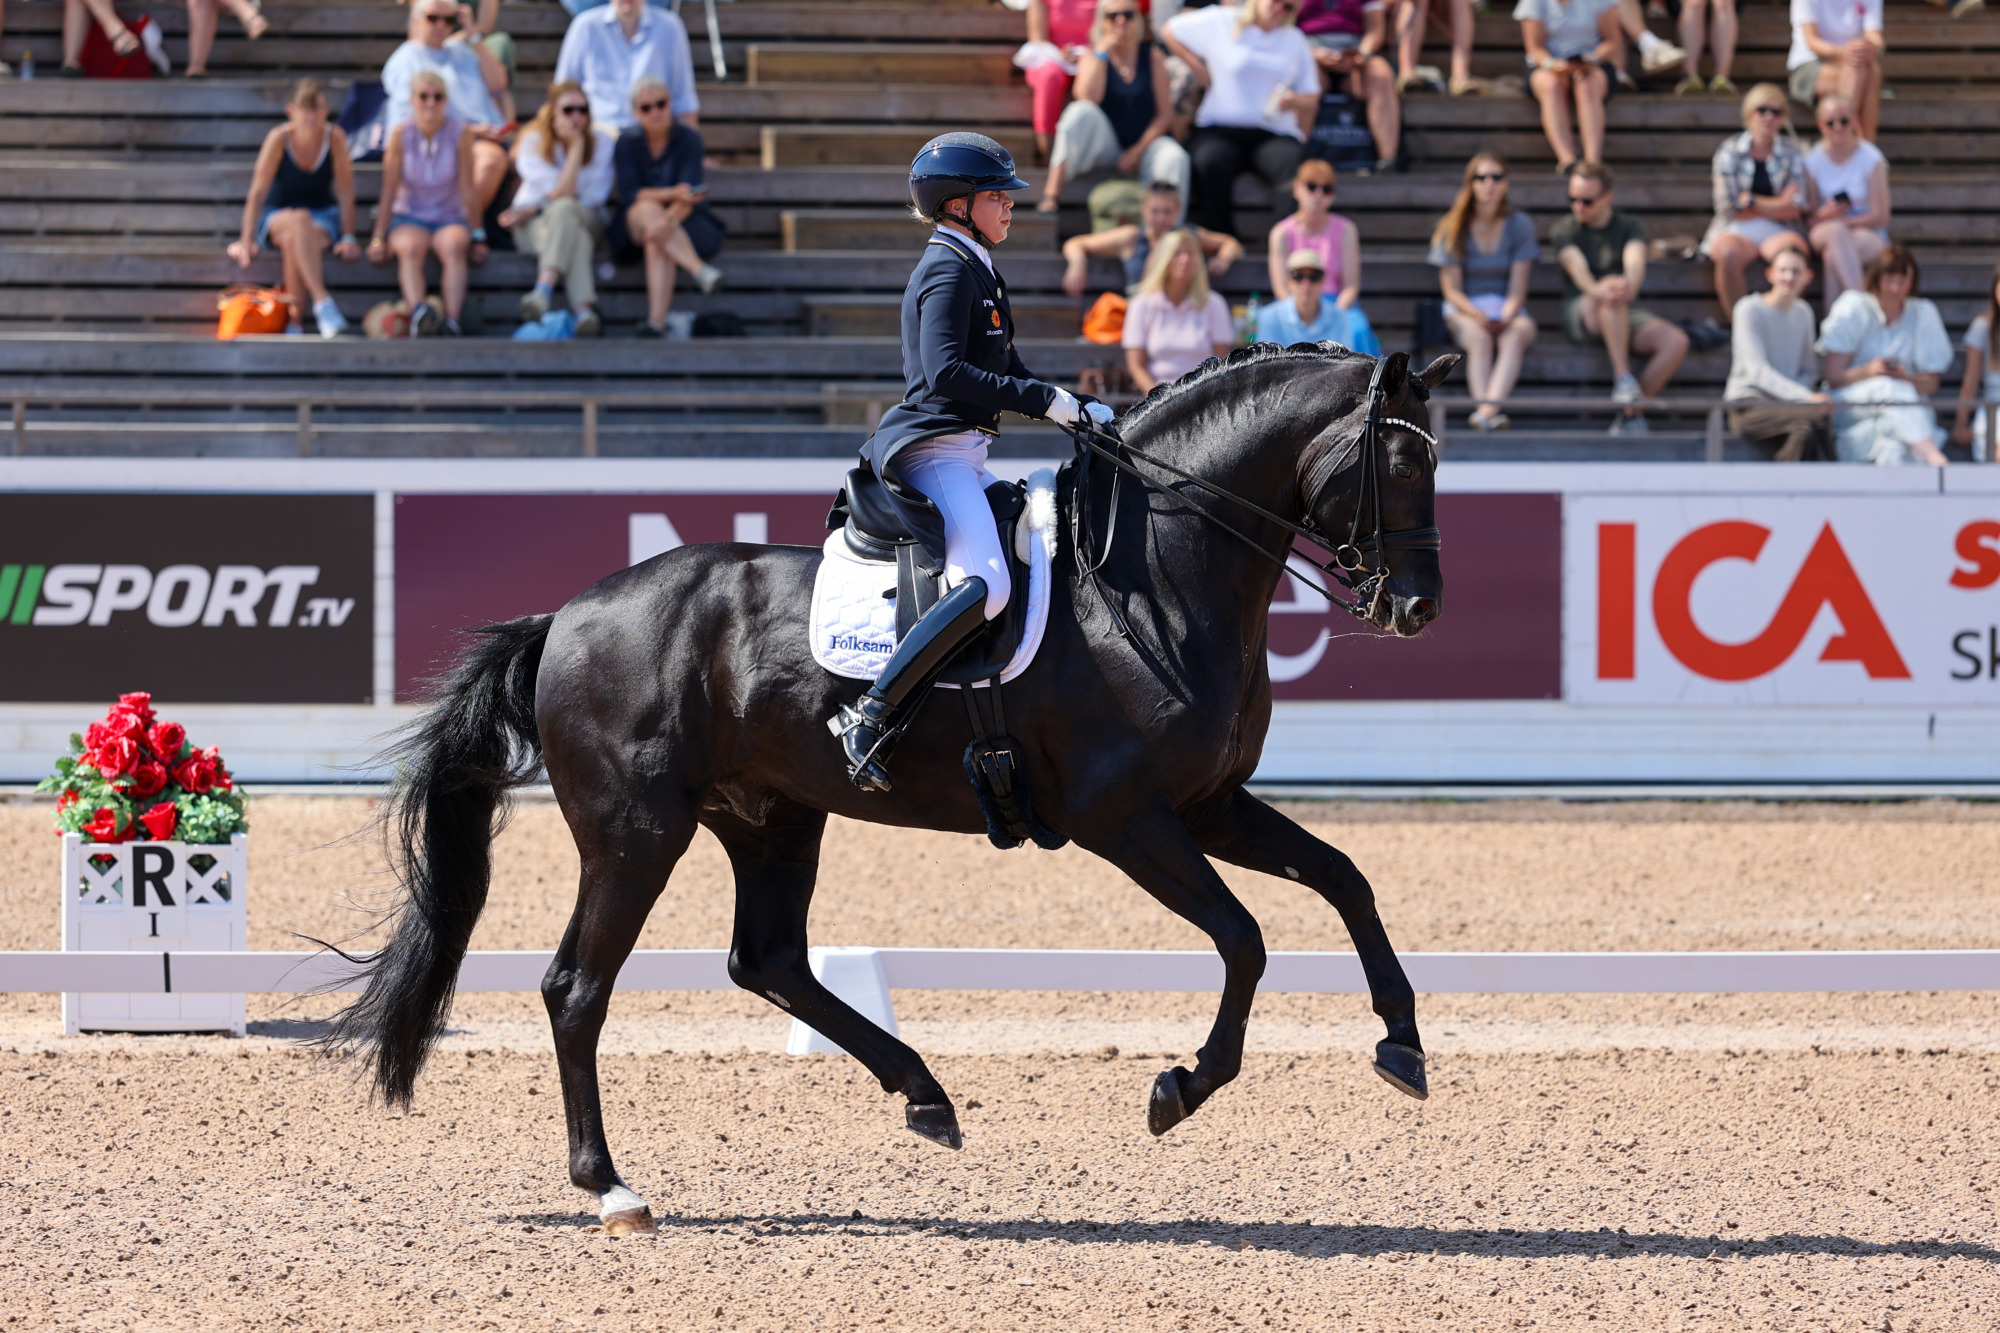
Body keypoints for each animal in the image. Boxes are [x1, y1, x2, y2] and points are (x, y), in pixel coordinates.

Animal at [322, 343, 1460, 1235]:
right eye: (1405, 460)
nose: (1414, 607)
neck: (1148, 581)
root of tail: (565, 614)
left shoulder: (1208, 803)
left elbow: (1345, 880)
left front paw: (1401, 1045)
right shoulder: (1126, 818)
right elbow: (1244, 937)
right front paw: (1179, 1086)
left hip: (771, 819)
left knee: (768, 959)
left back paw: (925, 1094)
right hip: (635, 829)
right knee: (576, 987)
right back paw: (613, 1187)